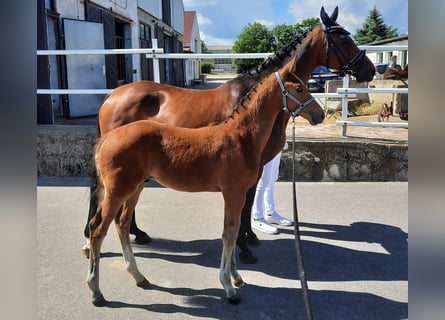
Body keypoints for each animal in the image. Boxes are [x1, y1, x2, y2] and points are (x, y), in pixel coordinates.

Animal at [80, 6, 374, 264]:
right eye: (343, 37)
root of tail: (112, 96)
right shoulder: (252, 166)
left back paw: (136, 233)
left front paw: (250, 237)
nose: (369, 70)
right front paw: (244, 247)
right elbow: (245, 205)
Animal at [87, 69, 322, 304]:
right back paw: (96, 291)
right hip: (117, 192)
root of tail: (108, 138)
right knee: (98, 230)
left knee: (122, 224)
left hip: (135, 189)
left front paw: (236, 277)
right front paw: (228, 287)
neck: (241, 137)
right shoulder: (234, 194)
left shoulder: (237, 195)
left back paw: (138, 276)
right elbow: (229, 235)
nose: (319, 114)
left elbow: (234, 232)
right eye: (299, 88)